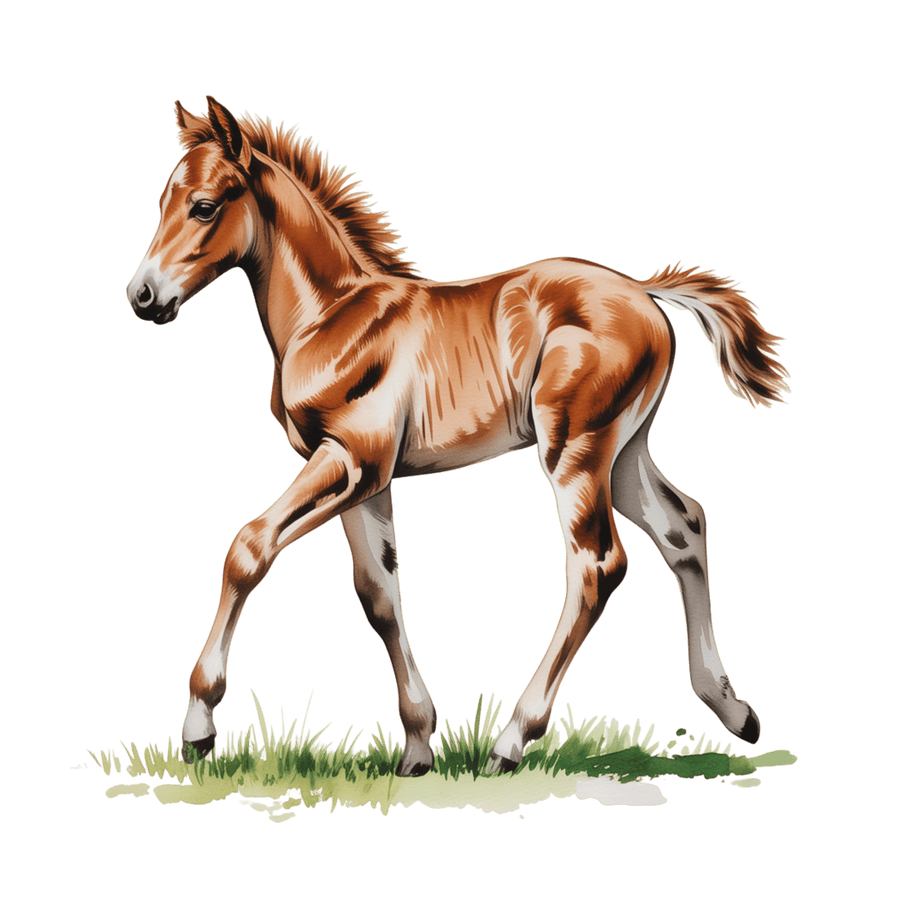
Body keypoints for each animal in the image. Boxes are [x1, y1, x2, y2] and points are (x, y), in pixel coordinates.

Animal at [126, 96, 789, 775]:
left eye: (205, 205)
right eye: (163, 200)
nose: (143, 295)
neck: (330, 316)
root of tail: (645, 293)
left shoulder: (352, 460)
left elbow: (250, 546)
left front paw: (199, 725)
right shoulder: (366, 481)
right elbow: (379, 594)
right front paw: (418, 746)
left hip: (575, 450)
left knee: (598, 565)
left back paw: (511, 741)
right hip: (624, 452)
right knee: (684, 527)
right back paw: (735, 711)